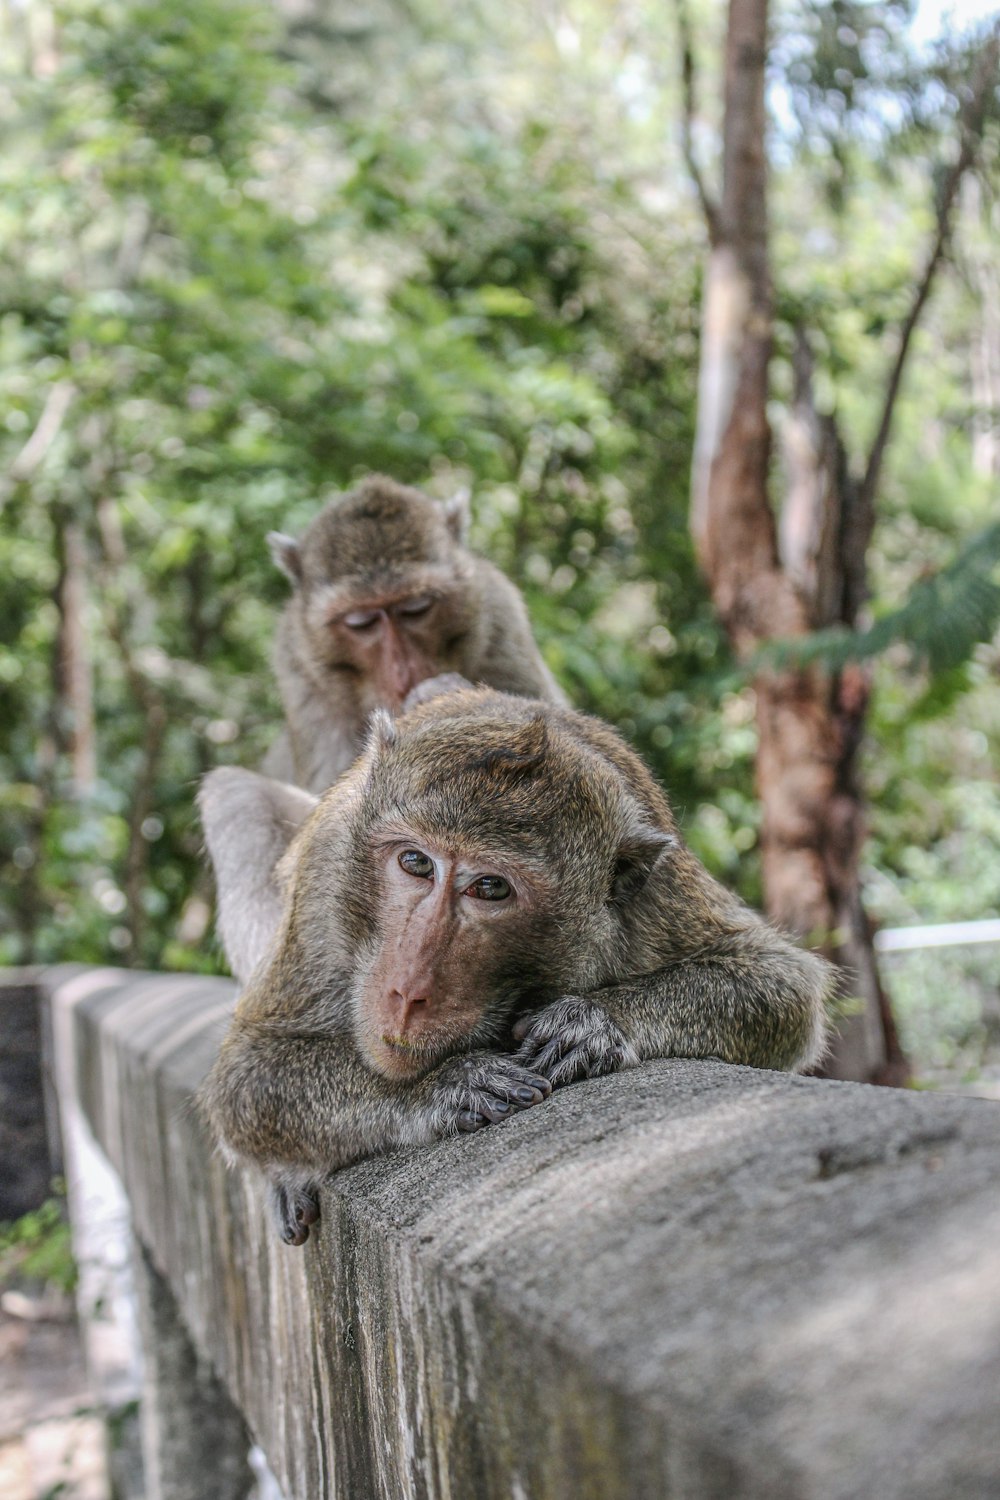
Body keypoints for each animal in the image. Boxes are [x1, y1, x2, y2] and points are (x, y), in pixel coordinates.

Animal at [199, 687, 833, 1242]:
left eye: (490, 887)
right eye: (415, 862)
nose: (406, 991)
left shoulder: (651, 891)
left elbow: (781, 983)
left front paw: (588, 1024)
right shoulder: (327, 875)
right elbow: (248, 1073)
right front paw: (443, 1086)